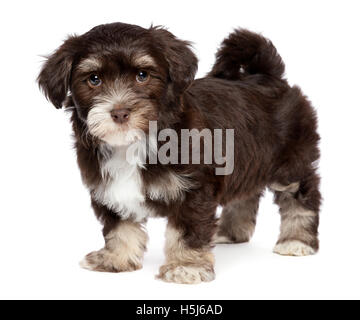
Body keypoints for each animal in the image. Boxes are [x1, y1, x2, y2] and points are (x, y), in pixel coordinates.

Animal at [38, 23, 320, 284]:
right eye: (94, 79)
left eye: (142, 75)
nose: (120, 113)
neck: (137, 142)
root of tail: (269, 76)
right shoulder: (108, 187)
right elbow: (118, 225)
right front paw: (115, 258)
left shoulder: (193, 190)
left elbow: (187, 231)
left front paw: (187, 266)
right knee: (245, 194)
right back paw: (230, 232)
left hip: (290, 162)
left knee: (301, 195)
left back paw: (297, 240)